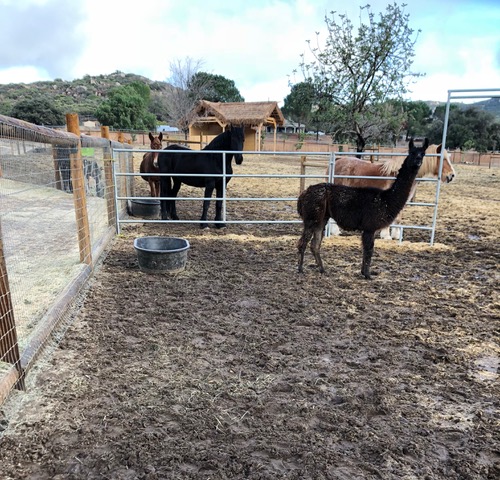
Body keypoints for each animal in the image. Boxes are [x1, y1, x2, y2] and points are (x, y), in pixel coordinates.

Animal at [326, 143, 456, 239]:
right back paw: (335, 231)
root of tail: (337, 161)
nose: (451, 176)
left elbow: (398, 219)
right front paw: (386, 236)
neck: (398, 175)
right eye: (443, 159)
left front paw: (396, 236)